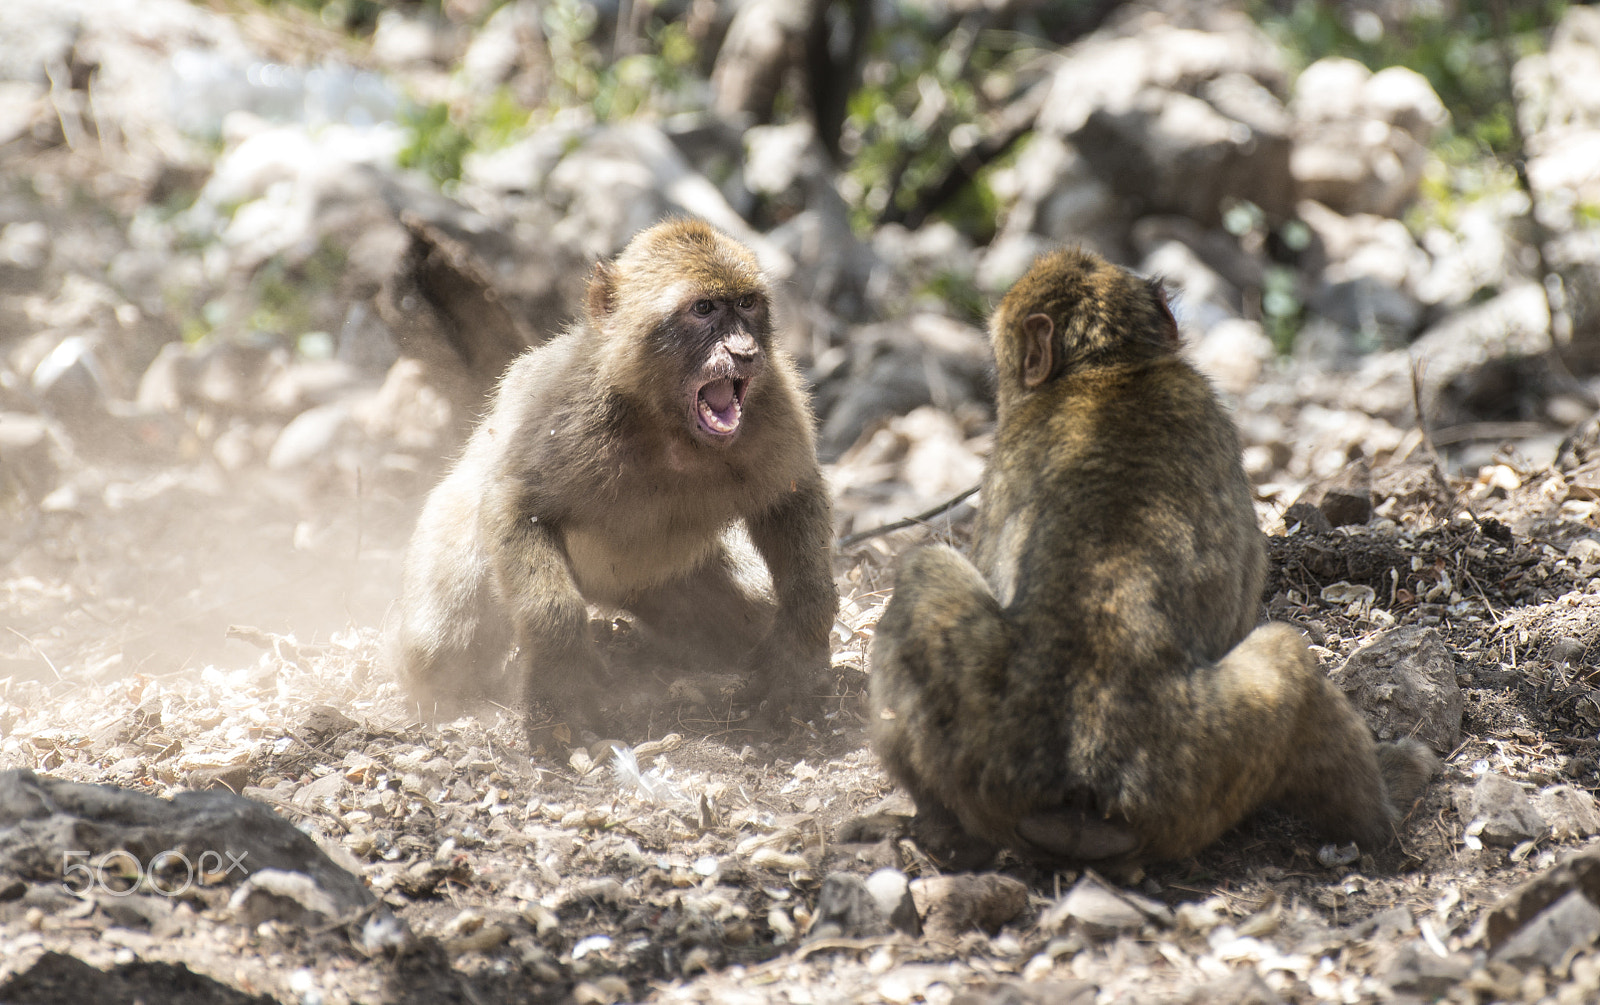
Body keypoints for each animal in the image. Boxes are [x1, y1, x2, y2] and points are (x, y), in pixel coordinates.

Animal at [395, 218, 838, 737]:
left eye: (747, 304)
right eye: (704, 309)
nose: (745, 352)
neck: (668, 423)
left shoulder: (775, 403)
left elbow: (791, 497)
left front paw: (801, 647)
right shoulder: (569, 415)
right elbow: (517, 509)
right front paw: (562, 688)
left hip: (670, 582)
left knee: (742, 611)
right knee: (438, 647)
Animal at [868, 248, 1435, 870]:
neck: (1105, 367)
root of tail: (1087, 775)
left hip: (986, 755)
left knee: (922, 576)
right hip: (1198, 773)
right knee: (1288, 661)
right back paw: (1386, 805)